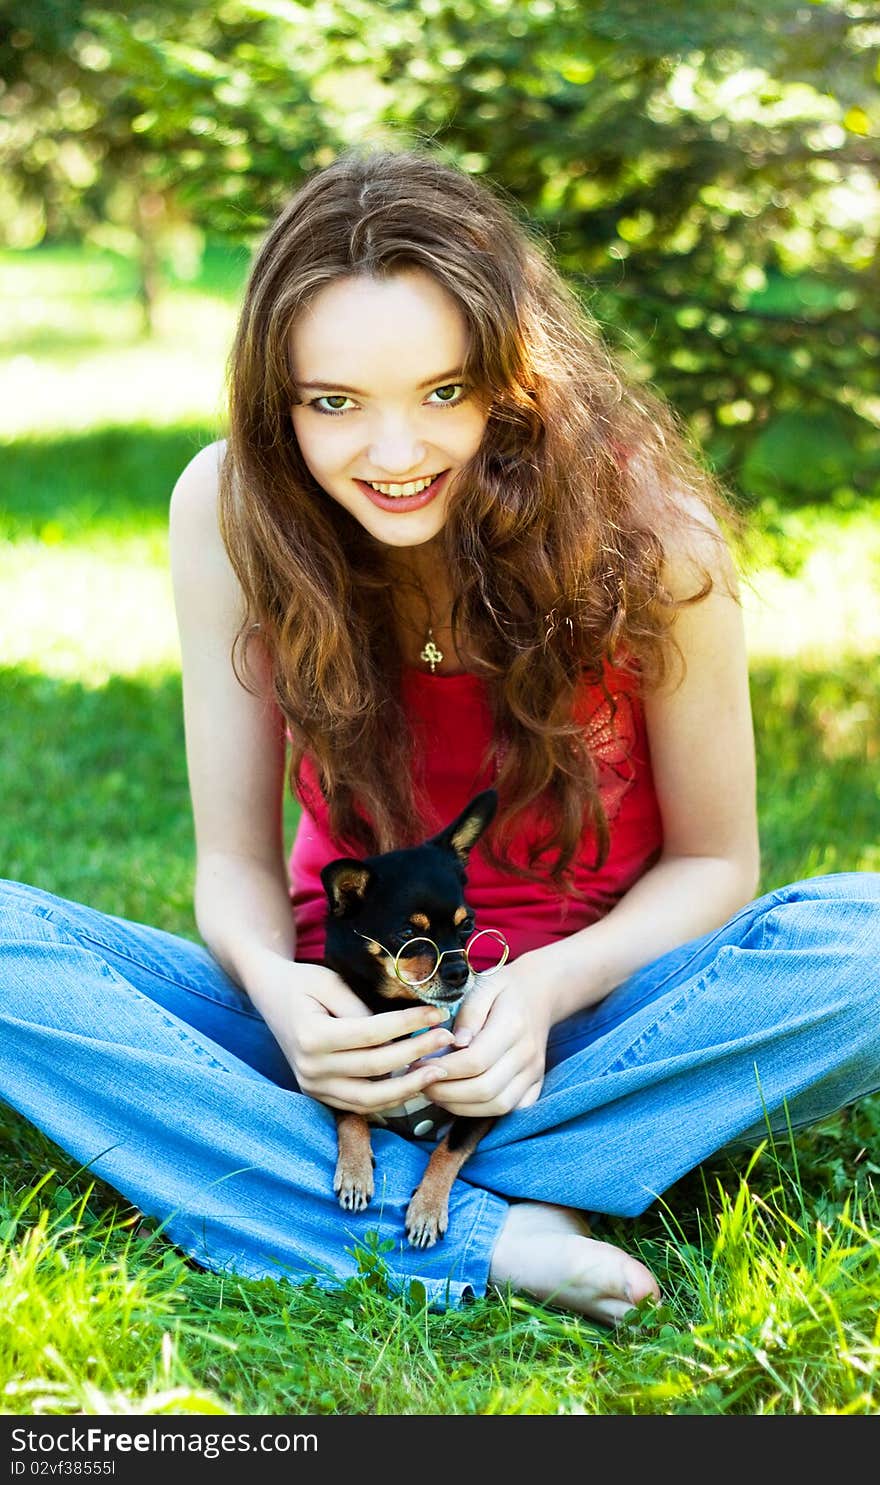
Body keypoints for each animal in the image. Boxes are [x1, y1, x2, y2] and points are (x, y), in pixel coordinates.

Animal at [320, 795, 501, 1247]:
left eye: (468, 925)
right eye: (407, 935)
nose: (459, 972)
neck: (397, 1010)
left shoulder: (483, 1102)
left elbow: (449, 1149)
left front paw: (427, 1208)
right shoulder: (332, 1078)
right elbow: (351, 1114)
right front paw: (354, 1171)